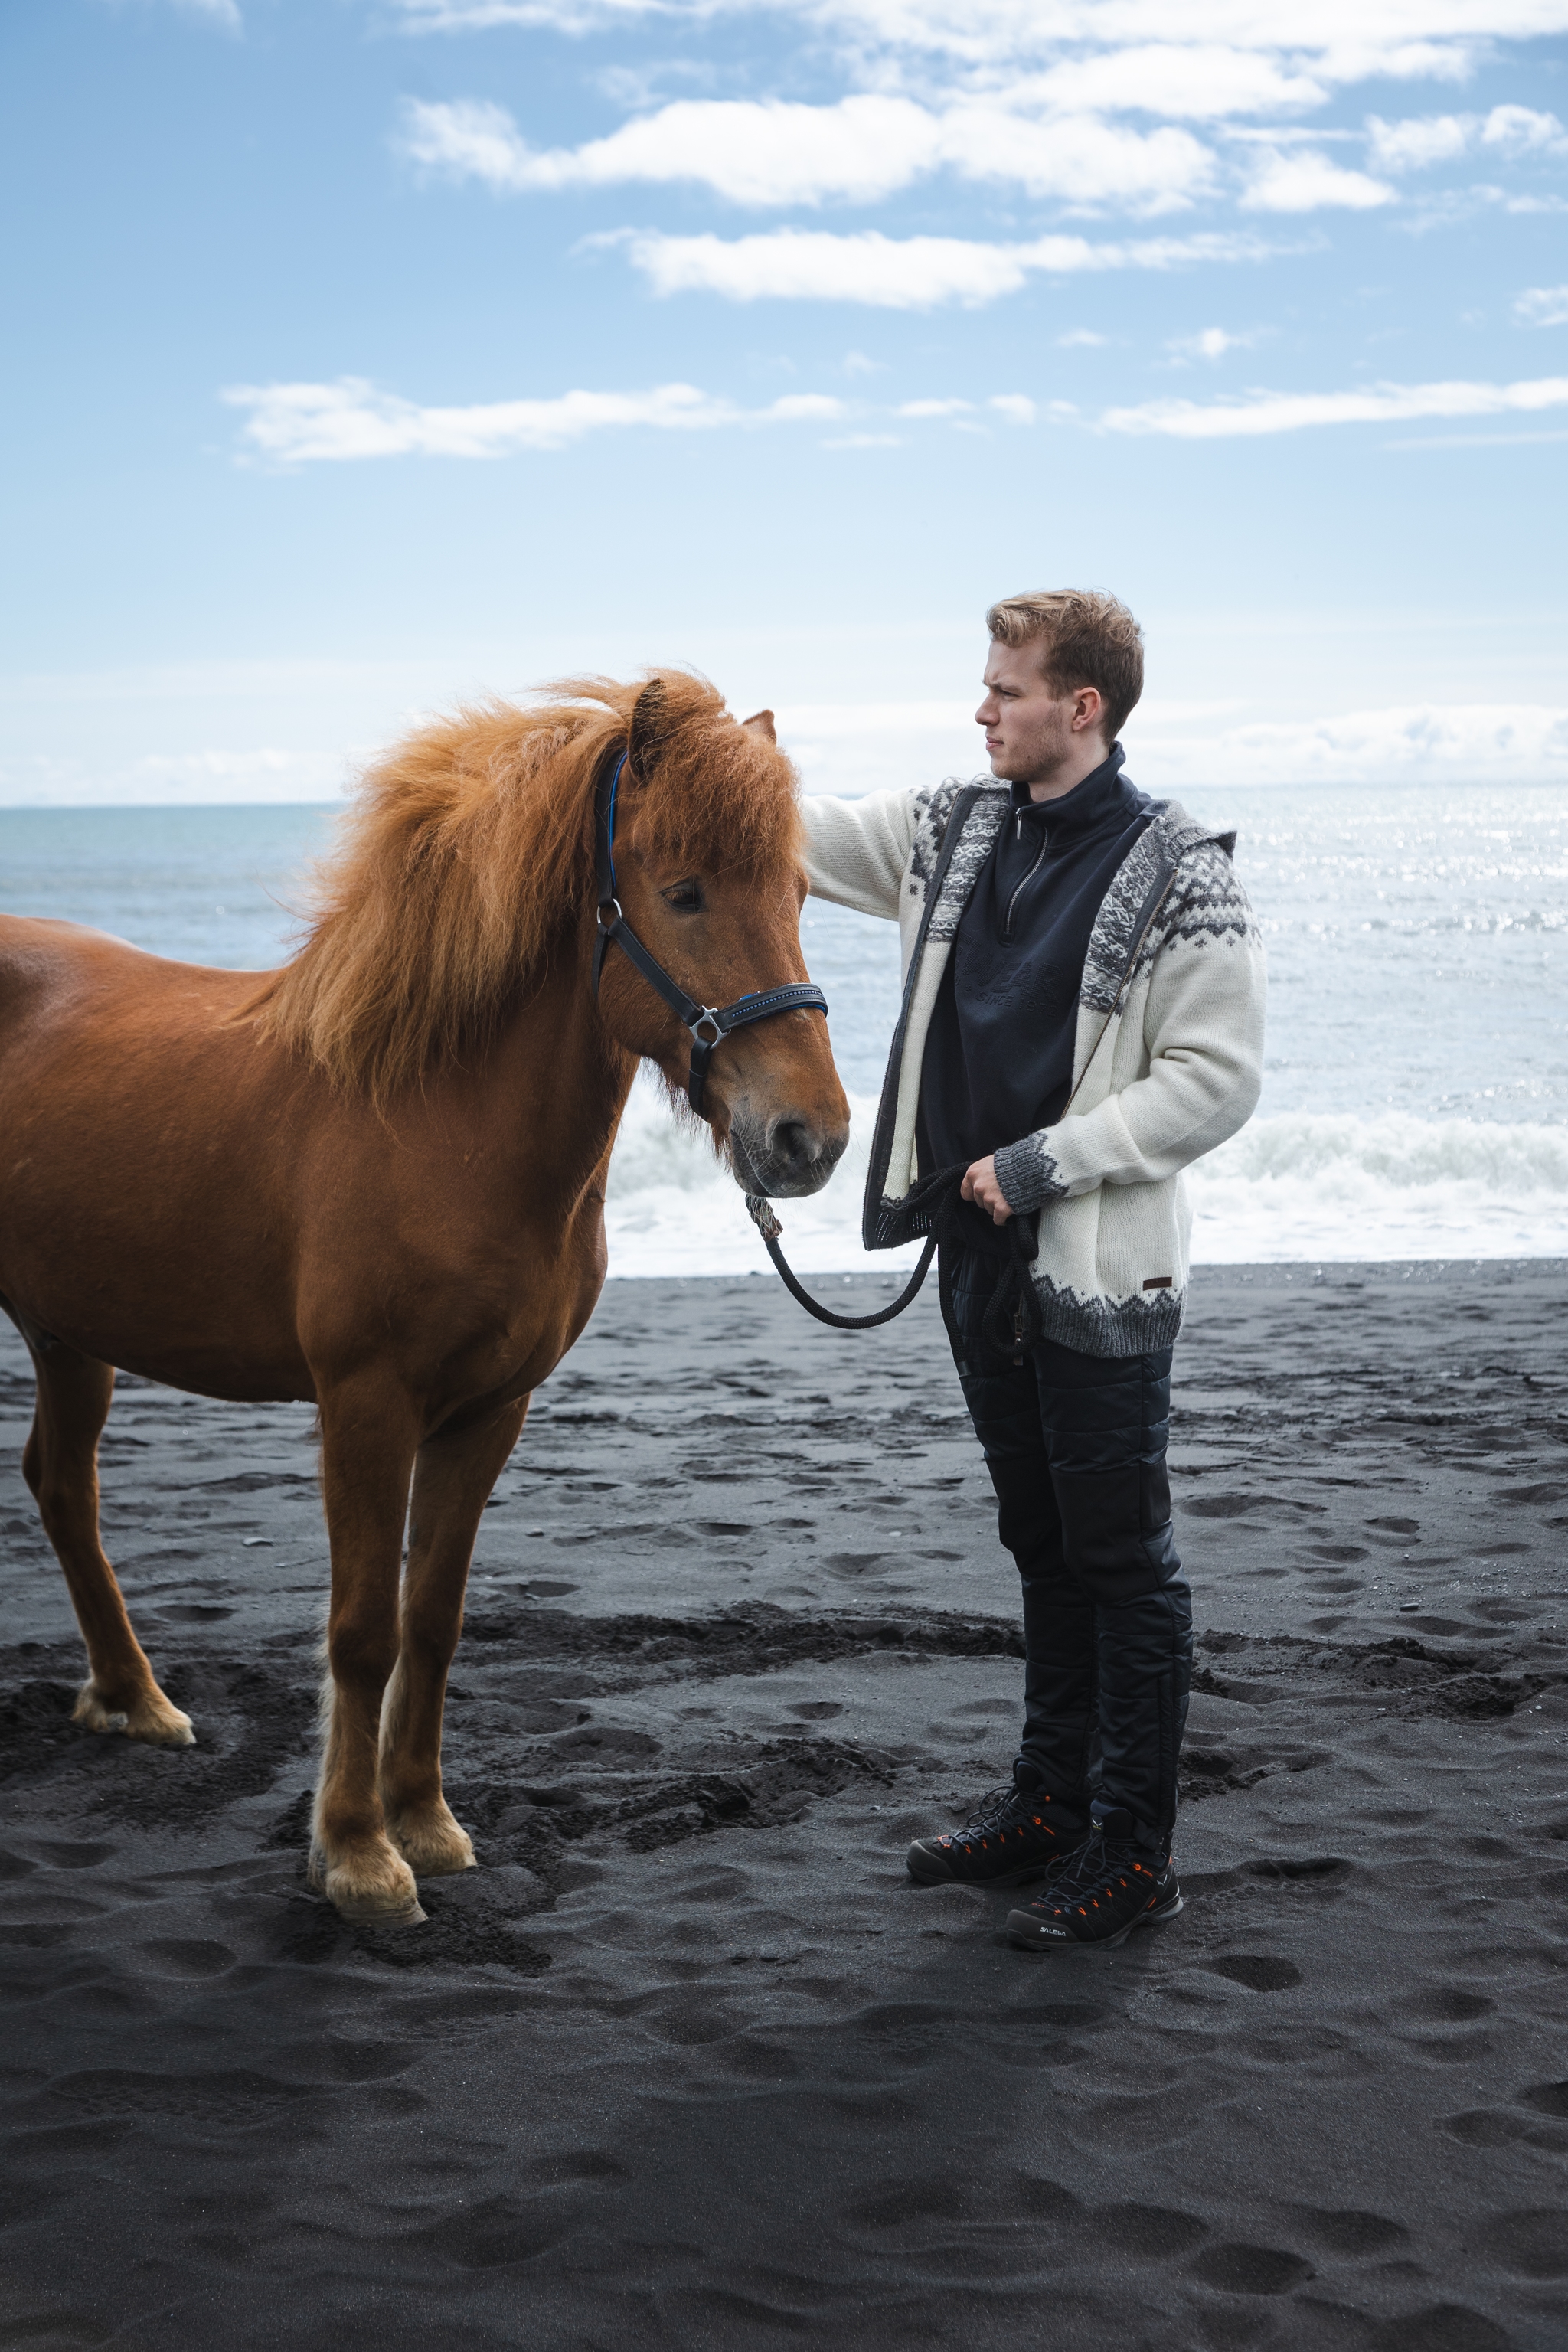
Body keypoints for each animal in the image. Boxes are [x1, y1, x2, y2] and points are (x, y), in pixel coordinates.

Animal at [0, 671, 849, 1925]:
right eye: (685, 893)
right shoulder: (367, 1406)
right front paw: (355, 1853)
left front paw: (429, 1824)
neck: (439, 1122)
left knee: (63, 1485)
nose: (809, 1139)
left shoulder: (488, 1411)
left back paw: (134, 1700)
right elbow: (362, 1630)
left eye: (795, 894)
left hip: (72, 1334)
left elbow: (433, 1622)